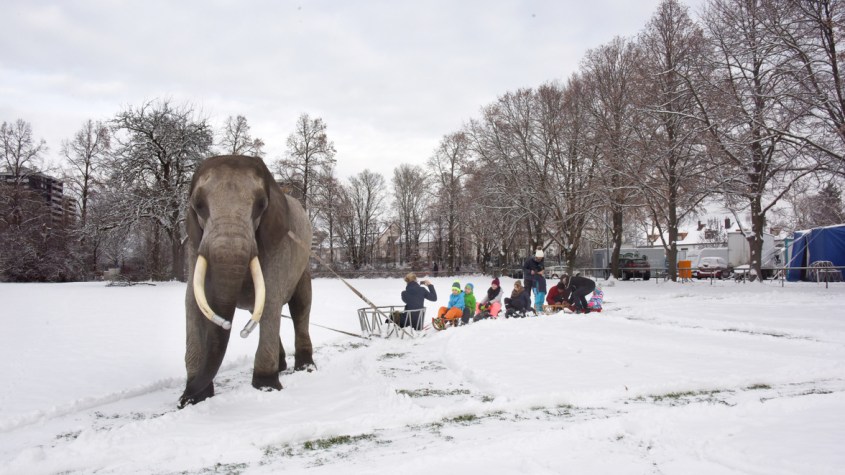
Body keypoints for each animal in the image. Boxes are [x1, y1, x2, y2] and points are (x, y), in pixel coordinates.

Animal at [179, 155, 315, 408]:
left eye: (261, 205)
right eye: (199, 205)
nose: (184, 398)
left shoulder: (277, 243)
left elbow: (270, 298)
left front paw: (266, 386)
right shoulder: (195, 244)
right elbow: (193, 301)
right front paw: (195, 399)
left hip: (303, 263)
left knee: (300, 307)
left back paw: (307, 368)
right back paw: (282, 365)